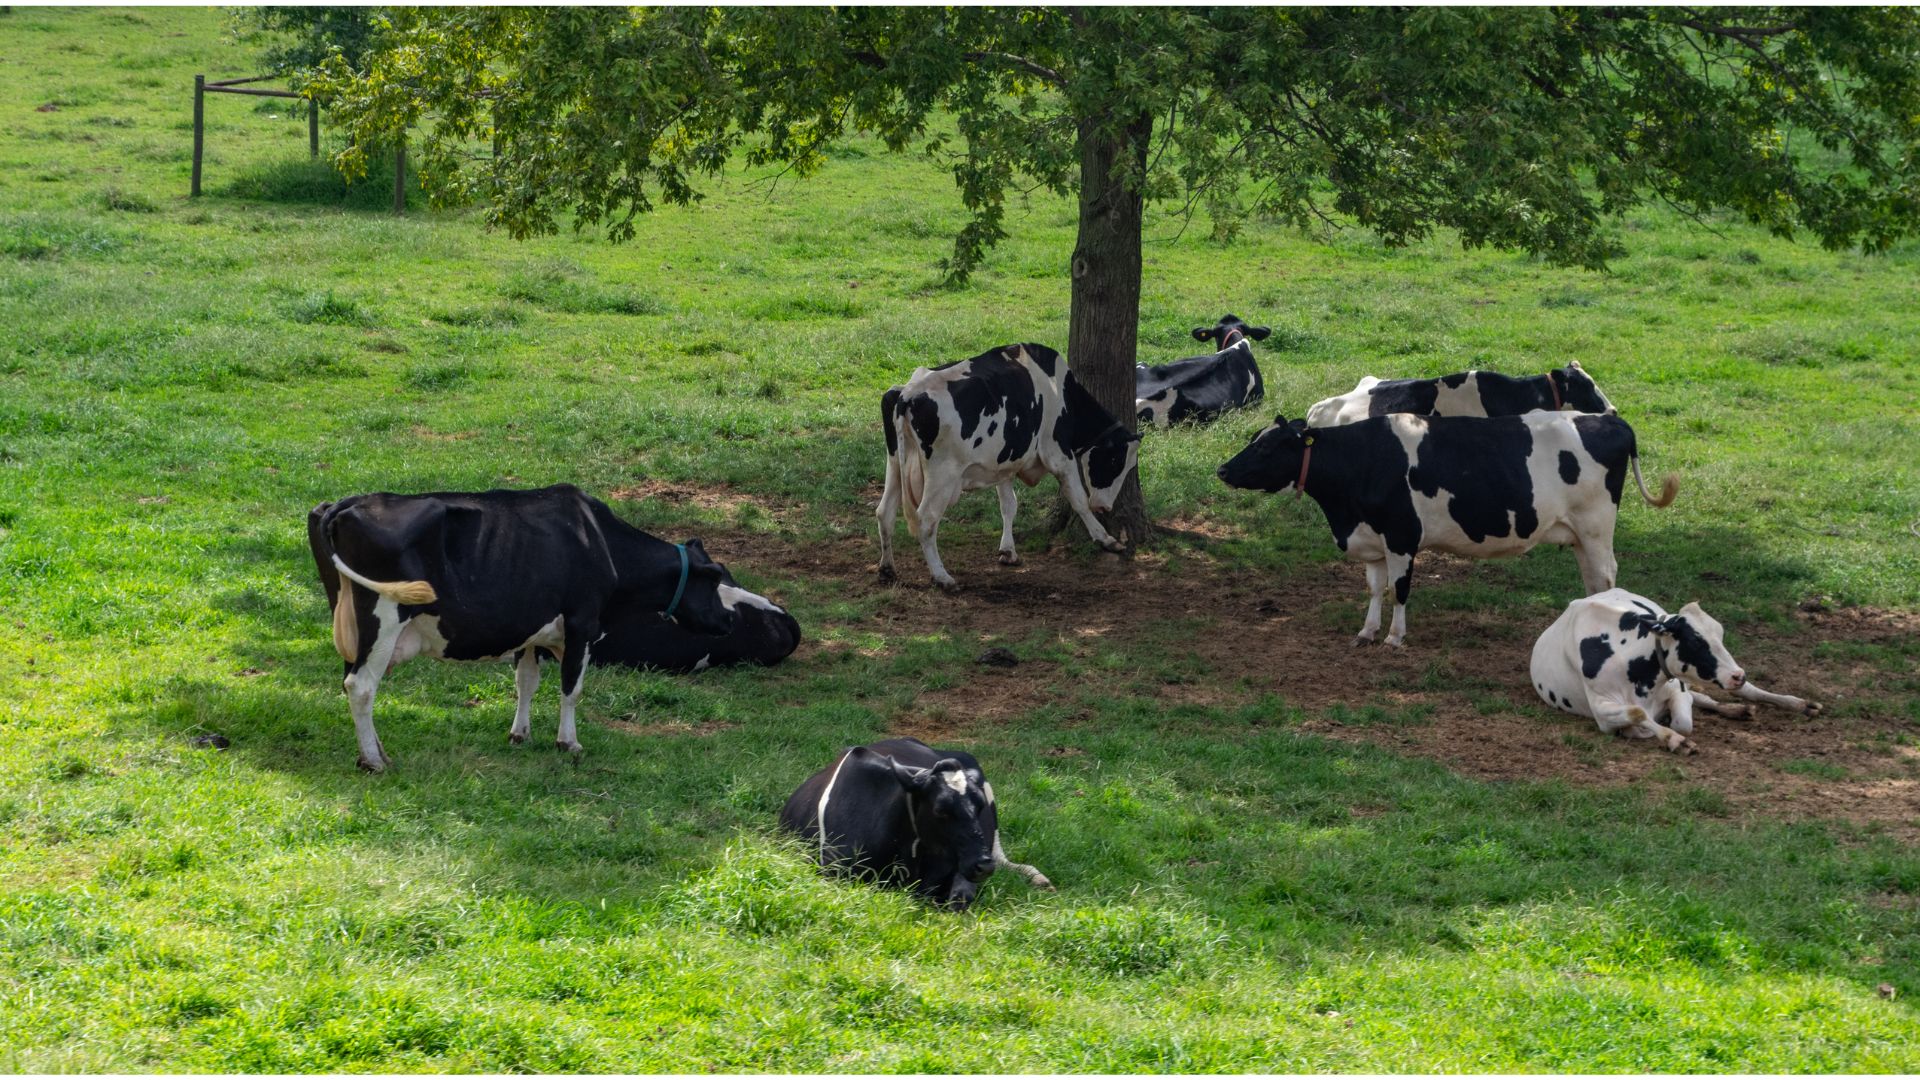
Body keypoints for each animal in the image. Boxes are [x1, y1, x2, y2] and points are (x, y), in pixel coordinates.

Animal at [306, 485, 736, 772]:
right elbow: (571, 689)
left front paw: (520, 734)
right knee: (362, 686)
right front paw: (569, 742)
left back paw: (377, 752)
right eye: (715, 579)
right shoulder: (582, 622)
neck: (600, 540)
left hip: (351, 624)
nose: (729, 620)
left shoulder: (532, 630)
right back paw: (373, 761)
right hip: (383, 616)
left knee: (351, 681)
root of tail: (343, 505)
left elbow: (526, 681)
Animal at [779, 737, 1052, 911]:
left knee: (1002, 857)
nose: (982, 865)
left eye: (980, 805)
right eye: (940, 809)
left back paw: (1037, 877)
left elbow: (958, 898)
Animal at [876, 342, 1141, 592]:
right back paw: (942, 577)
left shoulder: (1005, 464)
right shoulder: (1058, 455)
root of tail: (907, 395)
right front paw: (1106, 538)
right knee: (926, 520)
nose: (1105, 507)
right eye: (1116, 461)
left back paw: (887, 569)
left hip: (894, 464)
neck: (1060, 391)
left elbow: (1008, 505)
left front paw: (1008, 551)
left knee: (884, 512)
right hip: (942, 475)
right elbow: (1079, 501)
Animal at [1215, 411, 1678, 648]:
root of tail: (1610, 420)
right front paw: (1367, 630)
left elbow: (1400, 590)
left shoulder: (1402, 536)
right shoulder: (1373, 540)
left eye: (1268, 446)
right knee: (1594, 582)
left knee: (1606, 576)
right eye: (1254, 437)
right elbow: (1375, 588)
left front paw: (1395, 637)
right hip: (1580, 534)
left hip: (1597, 527)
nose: (1222, 469)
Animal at [1532, 588, 1822, 754]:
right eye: (1695, 642)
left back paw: (1800, 704)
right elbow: (1638, 715)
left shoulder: (1675, 686)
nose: (1738, 675)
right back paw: (1736, 709)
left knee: (1746, 692)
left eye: (1721, 634)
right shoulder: (1601, 709)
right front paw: (1674, 740)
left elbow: (1684, 720)